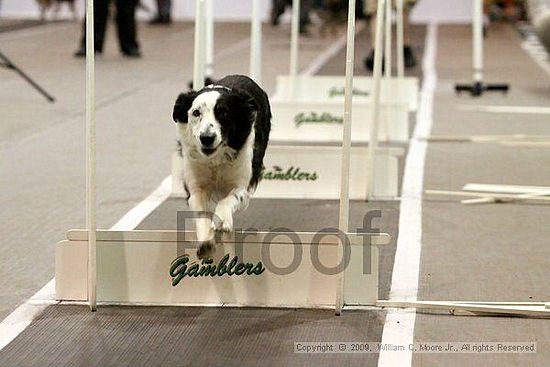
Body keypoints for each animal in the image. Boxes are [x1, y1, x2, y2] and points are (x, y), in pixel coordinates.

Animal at [172, 75, 272, 258]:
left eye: (223, 113)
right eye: (196, 112)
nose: (206, 138)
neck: (215, 160)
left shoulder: (242, 186)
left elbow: (229, 198)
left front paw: (221, 219)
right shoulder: (196, 187)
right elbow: (201, 212)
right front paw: (206, 241)